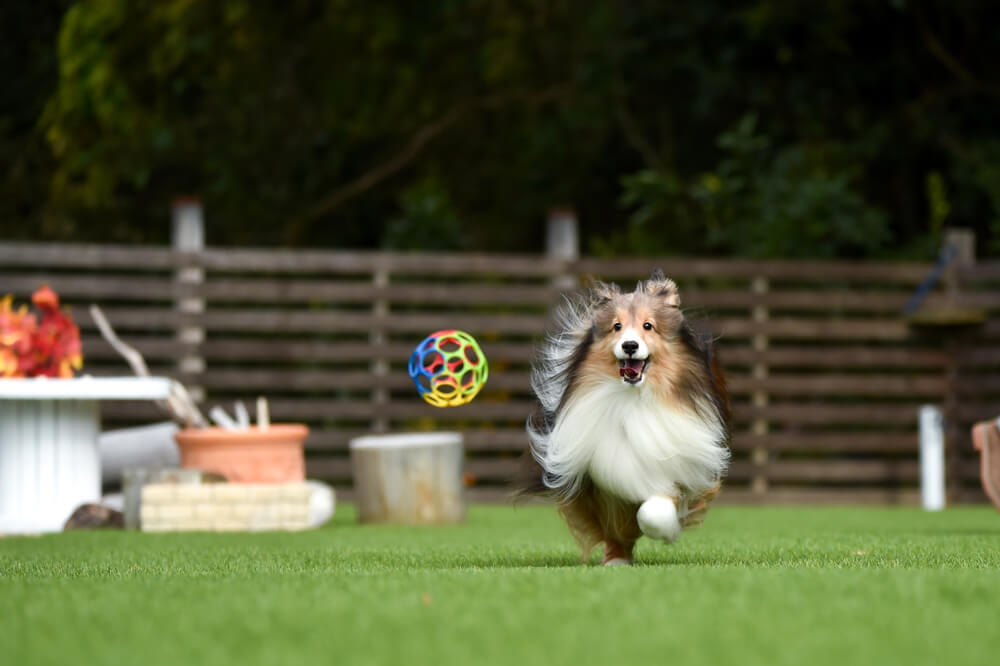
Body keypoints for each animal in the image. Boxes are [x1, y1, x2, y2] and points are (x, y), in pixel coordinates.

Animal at [528, 268, 732, 564]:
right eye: (617, 326)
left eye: (648, 326)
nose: (630, 345)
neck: (634, 399)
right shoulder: (602, 483)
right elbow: (616, 523)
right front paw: (617, 559)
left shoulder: (676, 471)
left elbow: (653, 510)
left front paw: (666, 531)